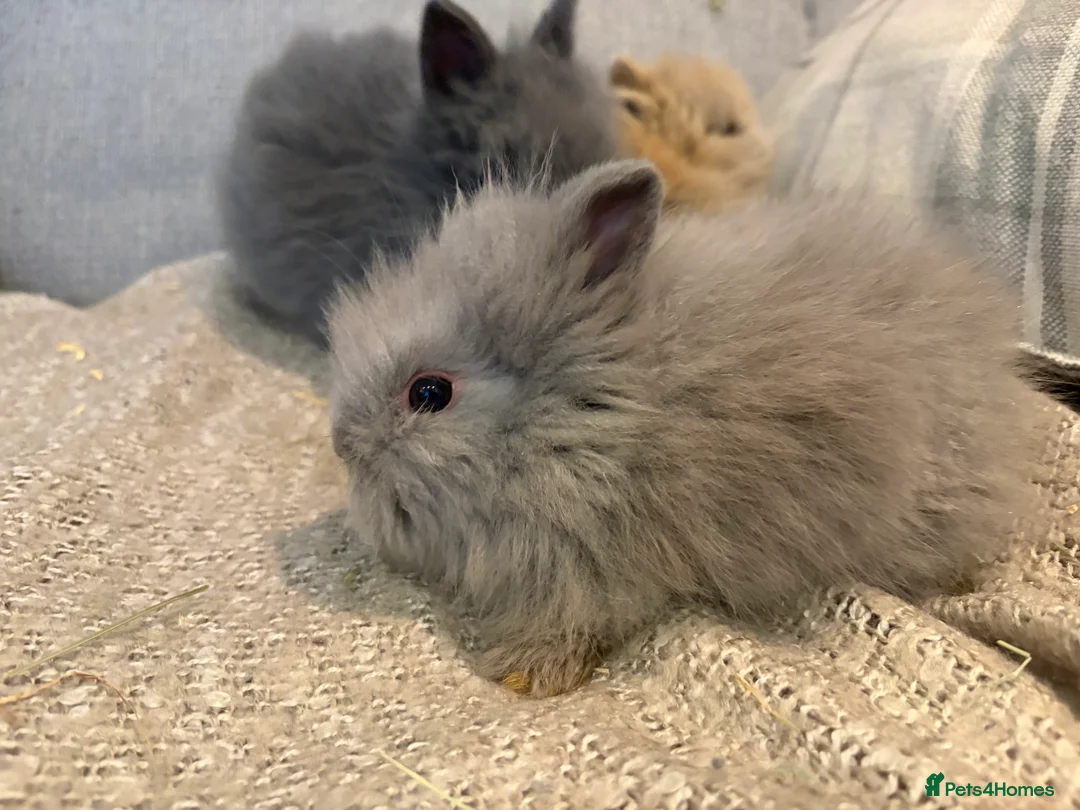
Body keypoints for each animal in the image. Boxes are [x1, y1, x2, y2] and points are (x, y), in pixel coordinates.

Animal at [326, 158, 1043, 698]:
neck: (595, 416)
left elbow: (574, 621)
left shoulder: (588, 568)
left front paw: (523, 676)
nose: (340, 444)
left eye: (429, 393)